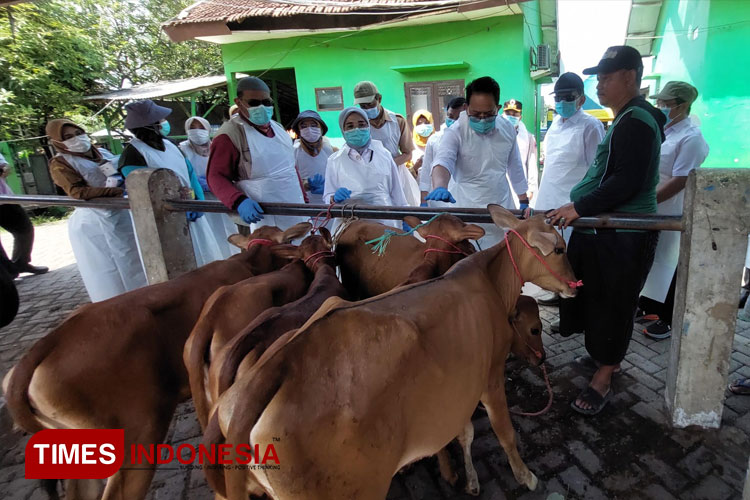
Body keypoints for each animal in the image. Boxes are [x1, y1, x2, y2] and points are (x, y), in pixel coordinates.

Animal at [212, 205, 580, 498]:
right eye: (560, 248)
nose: (575, 286)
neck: (490, 281)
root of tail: (274, 369)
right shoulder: (489, 374)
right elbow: (504, 431)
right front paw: (526, 476)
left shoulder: (460, 385)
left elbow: (464, 433)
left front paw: (470, 480)